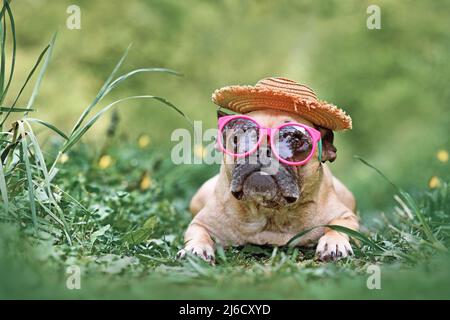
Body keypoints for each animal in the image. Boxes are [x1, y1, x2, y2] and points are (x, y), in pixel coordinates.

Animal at [176, 77, 358, 262]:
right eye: (238, 138)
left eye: (297, 141)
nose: (263, 151)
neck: (269, 213)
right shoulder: (201, 223)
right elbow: (199, 233)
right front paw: (196, 249)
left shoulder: (345, 216)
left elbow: (337, 228)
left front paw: (334, 243)